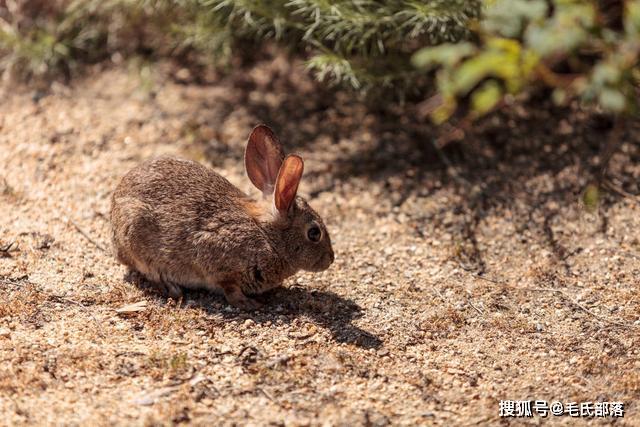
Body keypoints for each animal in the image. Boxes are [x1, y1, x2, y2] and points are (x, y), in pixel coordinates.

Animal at [110, 125, 336, 310]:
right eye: (314, 233)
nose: (331, 259)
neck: (267, 236)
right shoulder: (218, 261)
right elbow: (229, 288)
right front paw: (248, 303)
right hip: (134, 233)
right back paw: (171, 287)